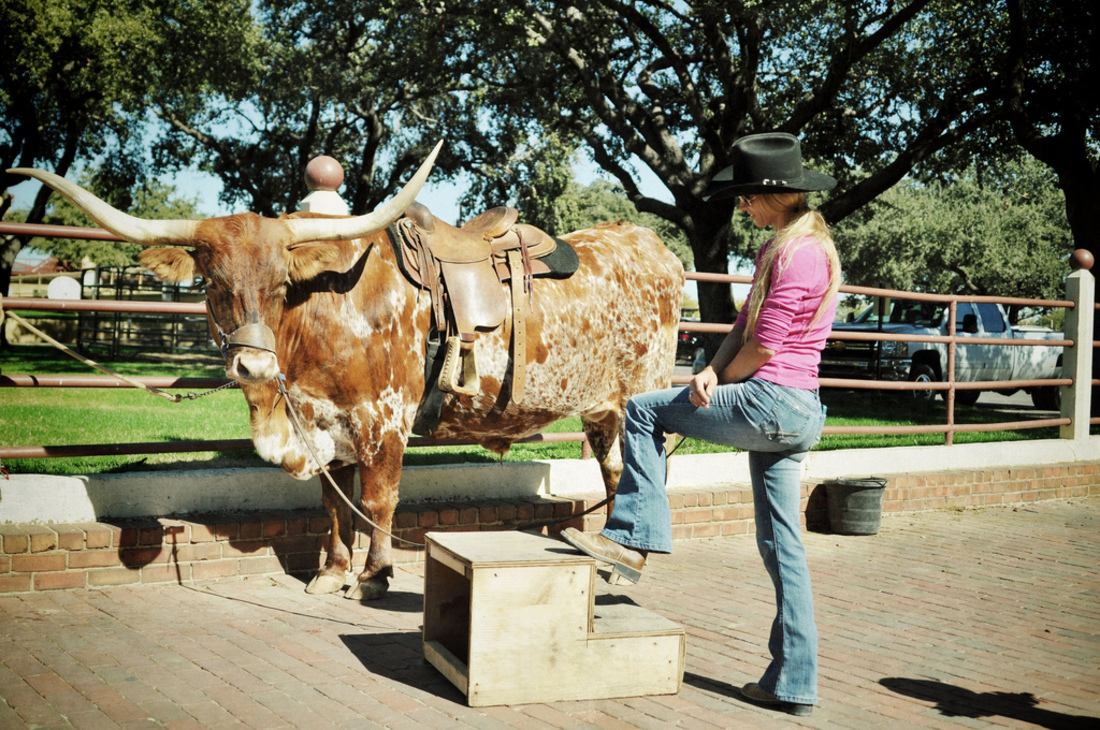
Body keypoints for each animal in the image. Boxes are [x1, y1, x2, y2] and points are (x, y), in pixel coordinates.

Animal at [10, 148, 684, 600]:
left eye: (280, 285)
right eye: (214, 283)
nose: (253, 364)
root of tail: (652, 246)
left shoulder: (384, 416)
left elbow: (378, 498)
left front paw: (374, 576)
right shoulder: (320, 419)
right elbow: (332, 500)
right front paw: (330, 571)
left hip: (642, 392)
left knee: (644, 471)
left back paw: (630, 560)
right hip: (601, 409)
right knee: (615, 470)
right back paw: (609, 554)